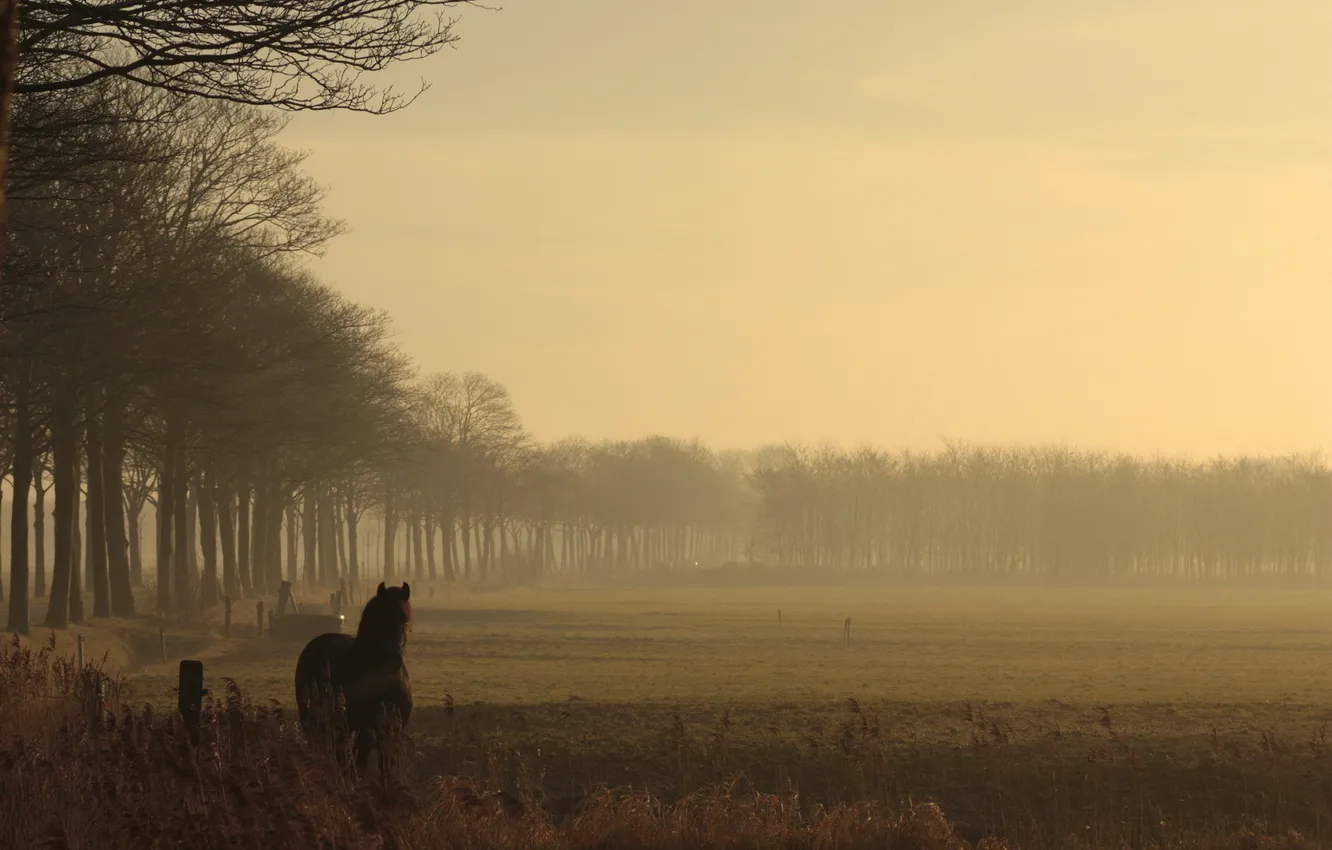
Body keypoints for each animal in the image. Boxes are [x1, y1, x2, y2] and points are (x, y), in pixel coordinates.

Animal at [294, 583, 412, 783]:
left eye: (404, 620)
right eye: (380, 621)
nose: (393, 659)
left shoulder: (393, 728)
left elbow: (386, 763)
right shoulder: (364, 728)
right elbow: (359, 762)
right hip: (317, 721)